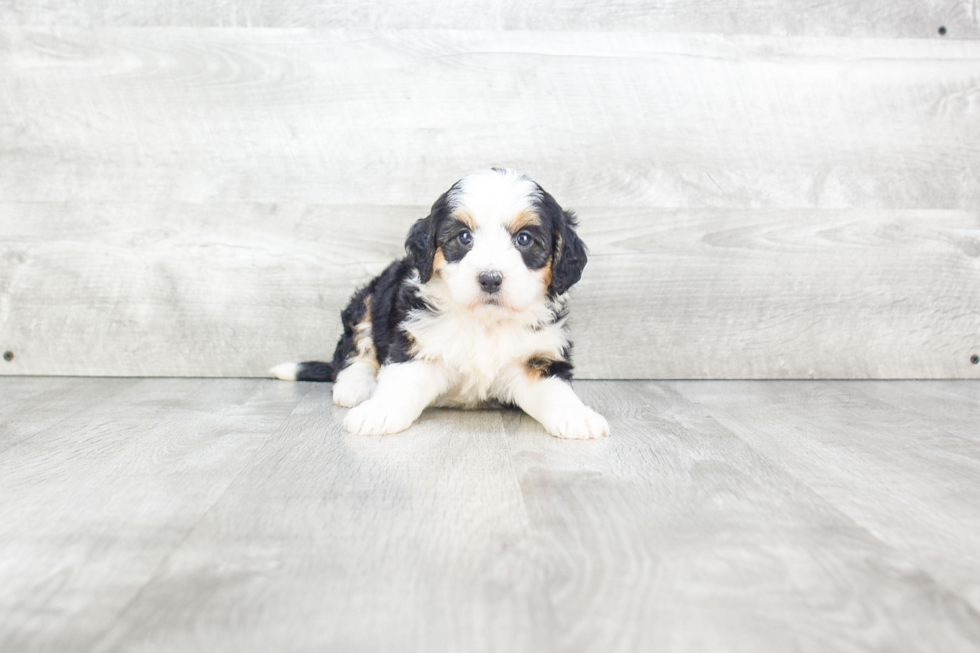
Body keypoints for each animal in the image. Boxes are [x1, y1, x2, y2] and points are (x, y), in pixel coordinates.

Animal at [272, 168, 608, 438]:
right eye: (464, 237)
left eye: (524, 239)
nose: (490, 279)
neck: (485, 323)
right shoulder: (419, 345)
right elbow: (401, 381)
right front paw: (377, 413)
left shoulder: (537, 357)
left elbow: (555, 390)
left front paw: (578, 417)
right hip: (370, 298)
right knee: (355, 347)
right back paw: (354, 386)